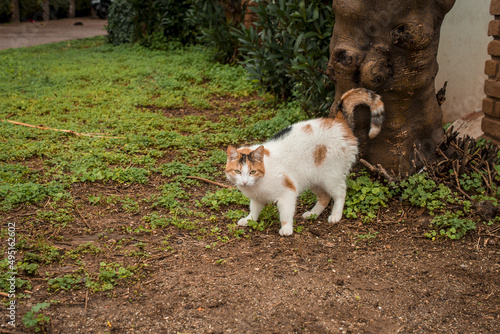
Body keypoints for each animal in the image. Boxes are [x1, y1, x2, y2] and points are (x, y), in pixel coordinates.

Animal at [225, 87, 384, 236]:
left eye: (252, 171)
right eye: (238, 171)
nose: (244, 182)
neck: (256, 185)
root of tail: (338, 121)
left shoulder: (288, 192)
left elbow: (286, 214)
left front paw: (286, 229)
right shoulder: (257, 198)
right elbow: (254, 210)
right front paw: (249, 219)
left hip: (331, 176)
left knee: (340, 192)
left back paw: (335, 216)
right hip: (314, 179)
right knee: (325, 197)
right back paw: (312, 214)